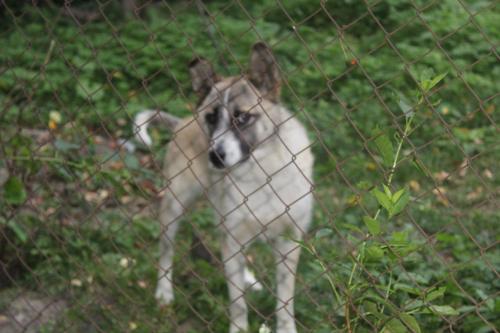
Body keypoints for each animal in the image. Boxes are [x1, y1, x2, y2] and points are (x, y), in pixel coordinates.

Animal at [133, 42, 312, 330]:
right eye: (211, 118)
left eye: (242, 117)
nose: (214, 157)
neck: (260, 174)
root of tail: (184, 121)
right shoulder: (234, 237)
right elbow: (237, 303)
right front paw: (238, 328)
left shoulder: (289, 241)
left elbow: (285, 302)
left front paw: (286, 328)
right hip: (174, 207)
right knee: (166, 251)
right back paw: (164, 292)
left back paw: (249, 278)